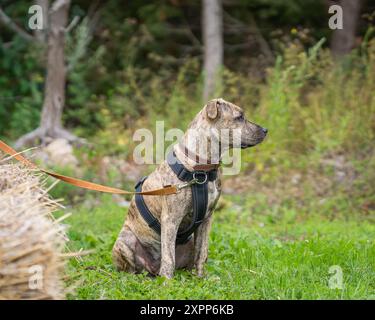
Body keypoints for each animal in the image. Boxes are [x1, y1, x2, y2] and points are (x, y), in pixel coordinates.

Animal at [112, 97, 268, 278]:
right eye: (239, 117)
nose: (265, 130)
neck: (201, 169)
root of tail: (152, 268)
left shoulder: (207, 219)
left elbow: (202, 252)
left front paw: (201, 278)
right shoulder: (170, 219)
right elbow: (169, 257)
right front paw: (167, 281)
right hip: (125, 240)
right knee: (133, 267)